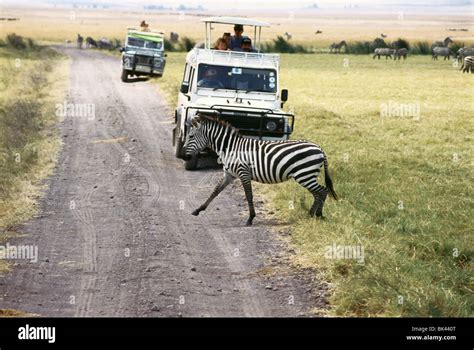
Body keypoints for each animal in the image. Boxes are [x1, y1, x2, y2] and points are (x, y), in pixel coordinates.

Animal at [182, 116, 336, 226]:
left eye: (191, 136)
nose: (184, 157)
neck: (230, 148)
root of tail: (319, 147)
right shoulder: (229, 174)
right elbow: (214, 192)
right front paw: (198, 210)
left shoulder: (244, 173)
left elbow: (249, 196)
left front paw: (250, 218)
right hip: (307, 175)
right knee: (319, 193)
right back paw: (311, 215)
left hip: (305, 175)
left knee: (323, 191)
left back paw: (317, 215)